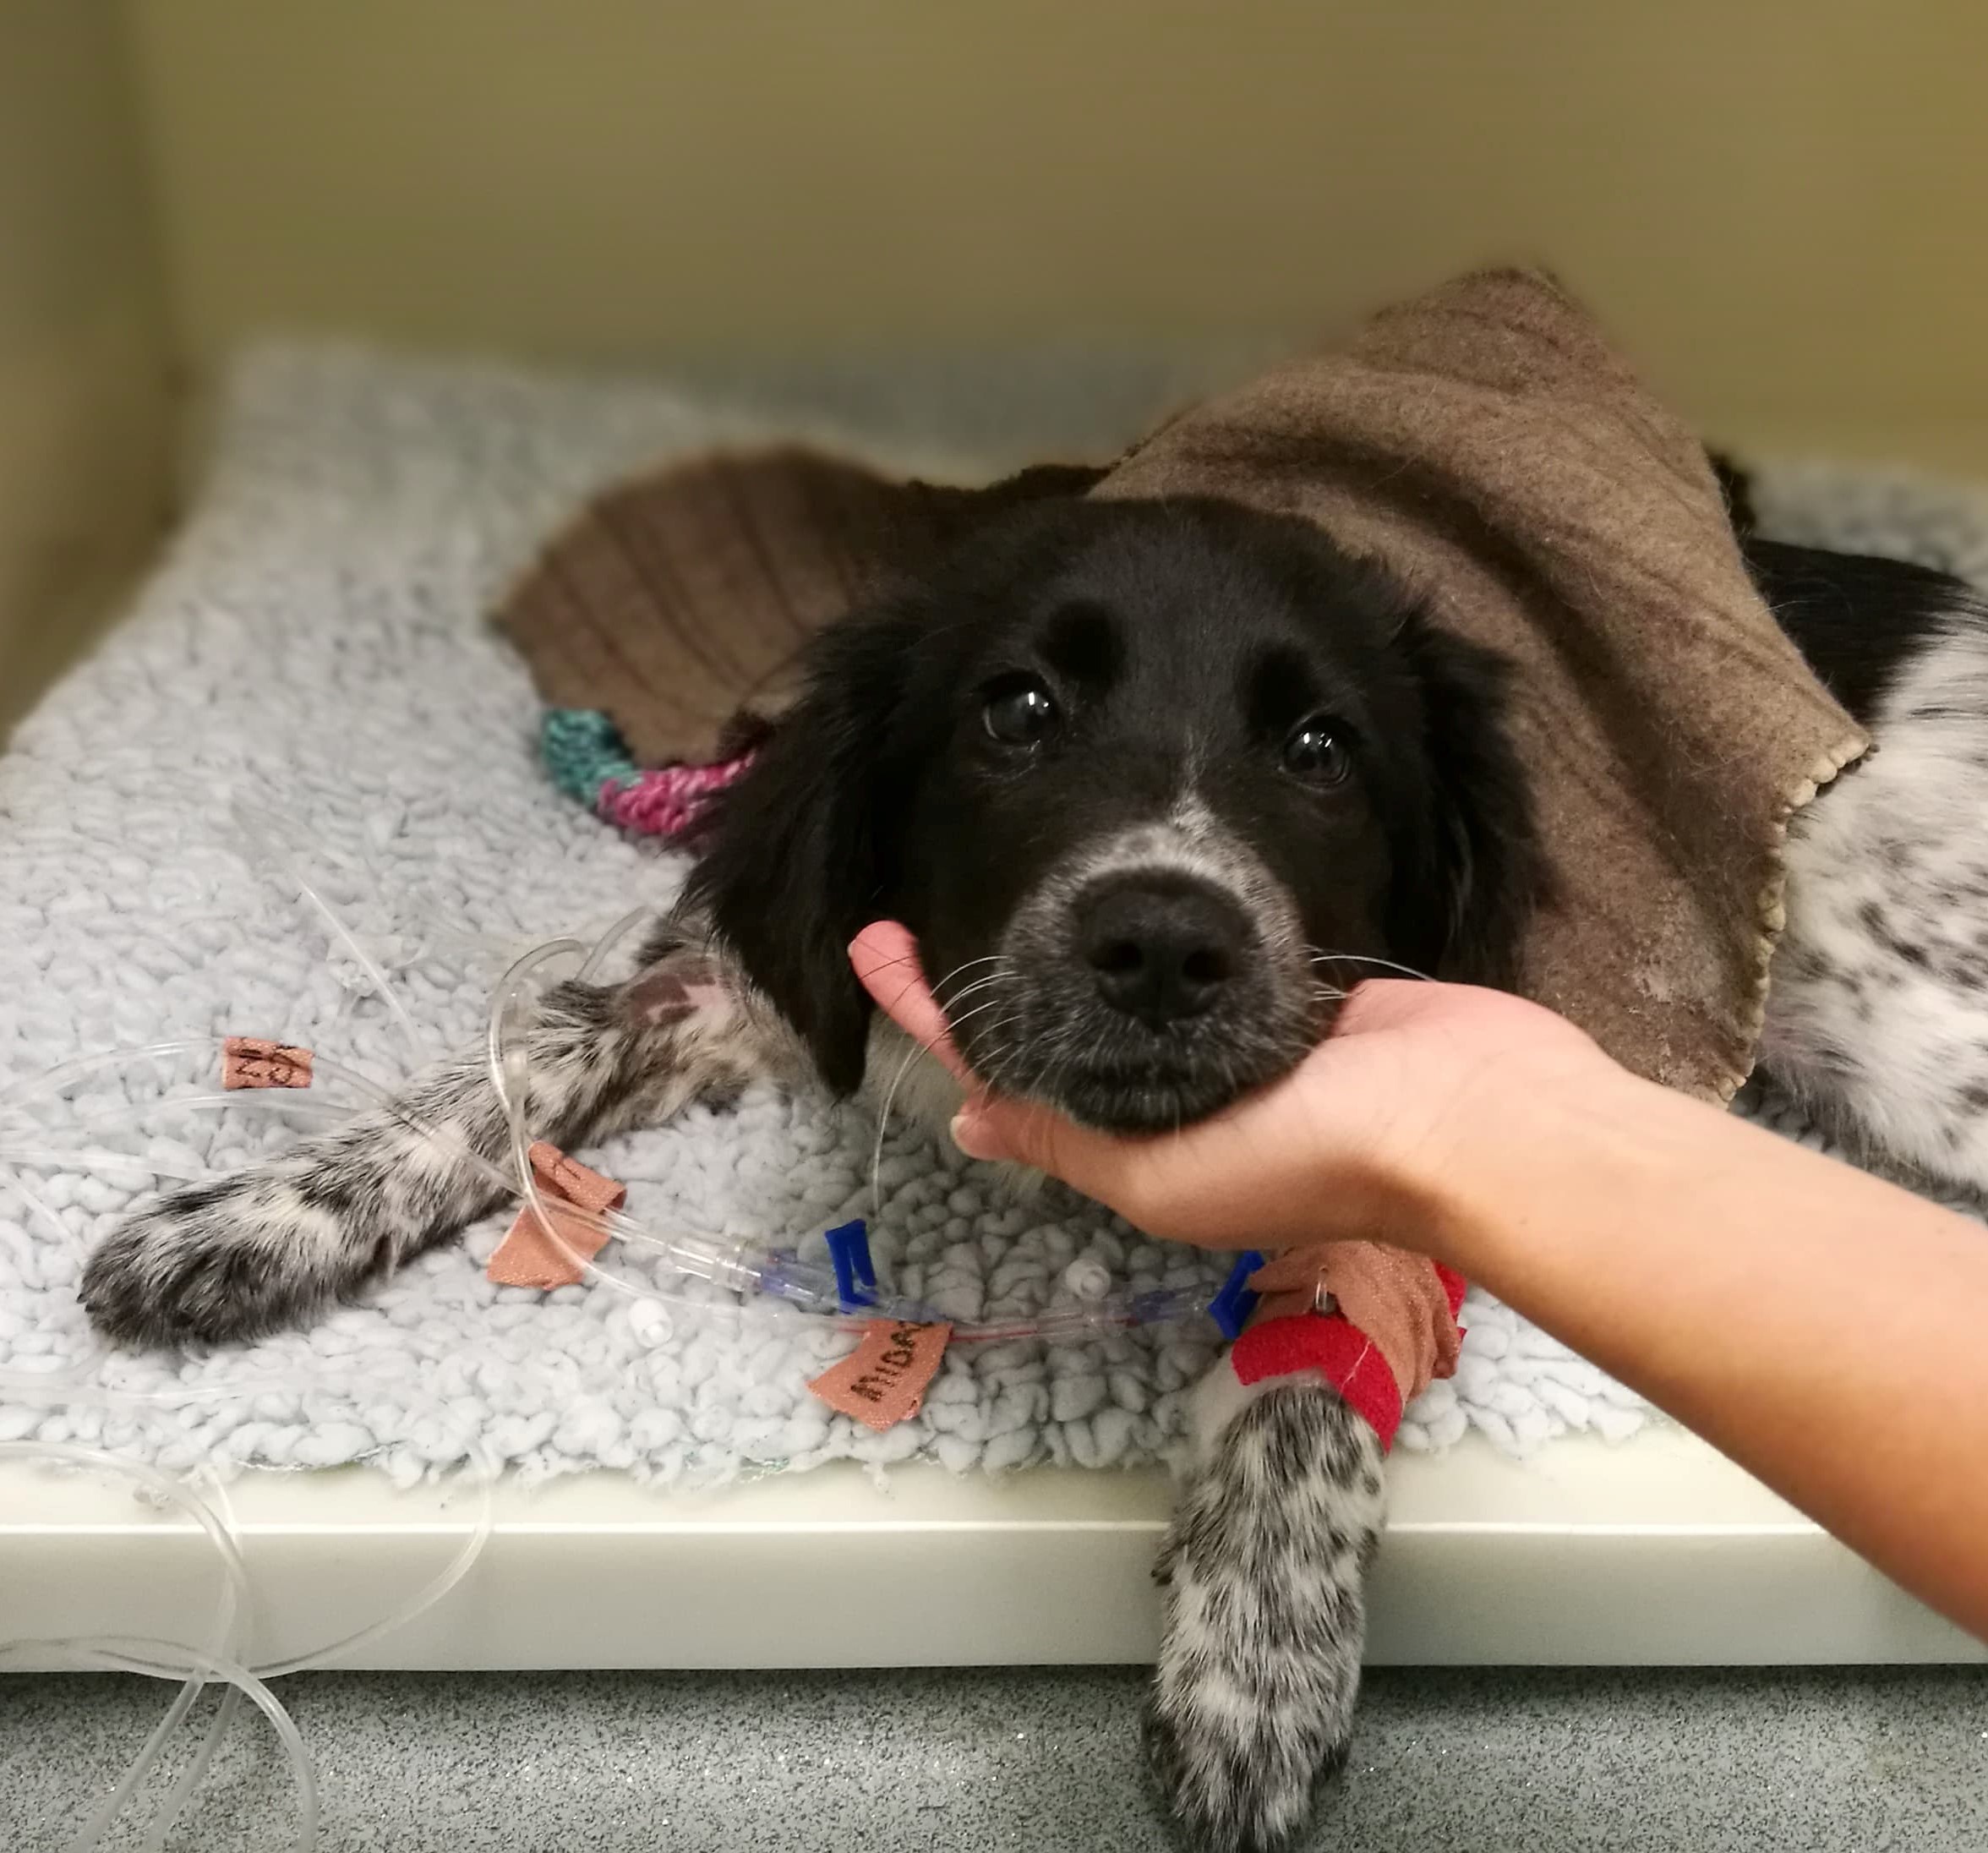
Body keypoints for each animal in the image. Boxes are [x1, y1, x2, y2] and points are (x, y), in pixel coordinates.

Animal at [81, 484, 1988, 1845]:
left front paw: (1256, 1656)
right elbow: (540, 1045)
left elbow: (1309, 1370)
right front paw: (266, 1212)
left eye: (1323, 749)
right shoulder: (803, 973)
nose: (1164, 943)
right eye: (1016, 710)